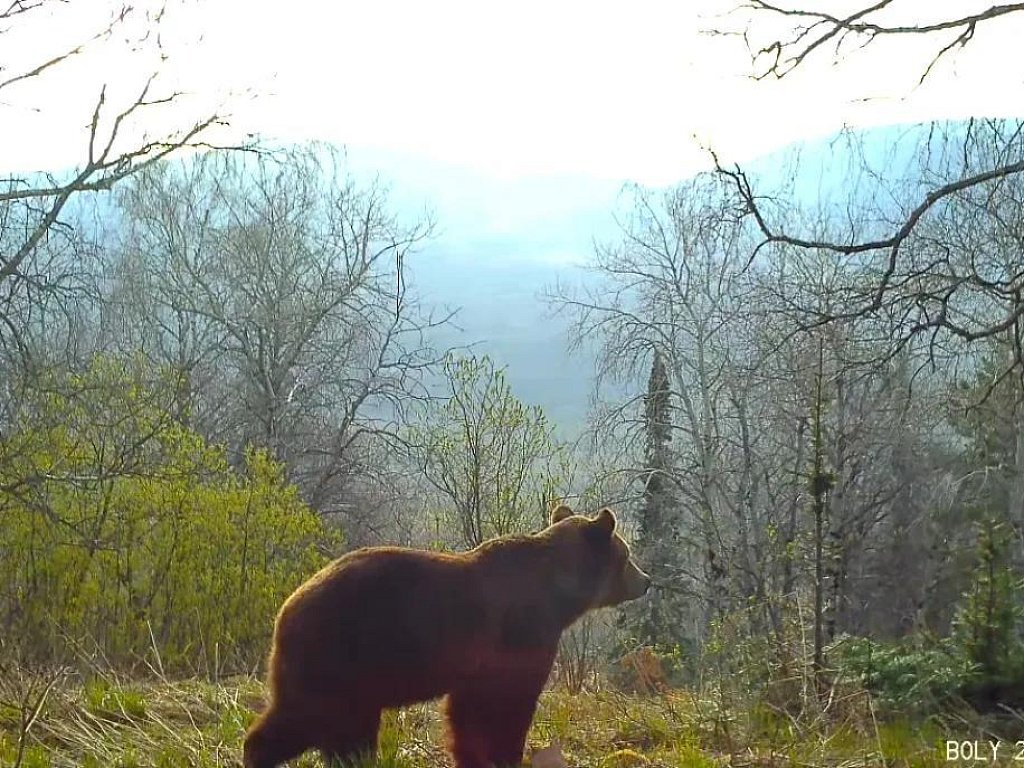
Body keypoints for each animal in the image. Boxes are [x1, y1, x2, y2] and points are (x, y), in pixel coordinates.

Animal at [242, 504, 651, 768]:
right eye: (627, 553)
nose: (646, 580)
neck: (559, 596)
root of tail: (287, 608)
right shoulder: (522, 634)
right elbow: (510, 703)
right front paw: (507, 753)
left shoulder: (477, 664)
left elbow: (467, 713)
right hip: (339, 658)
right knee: (310, 719)